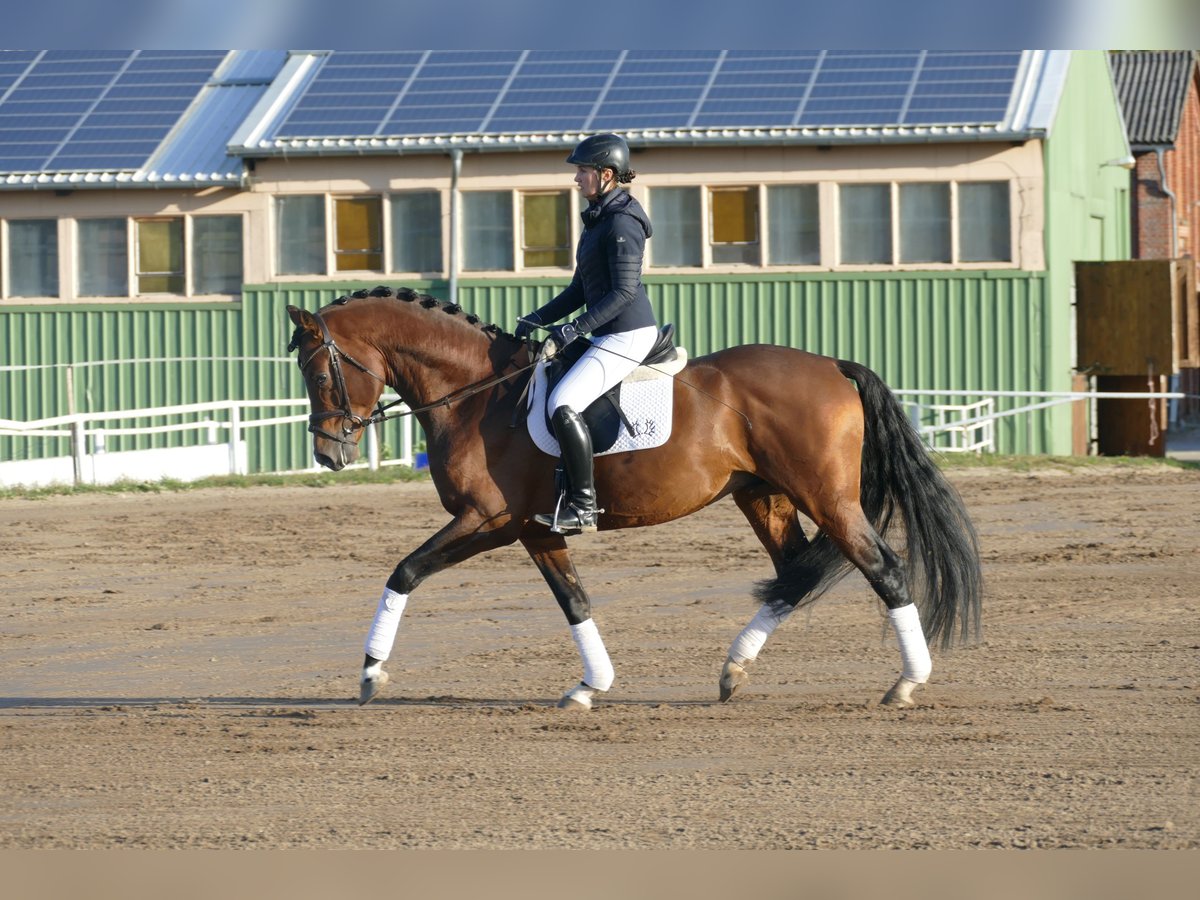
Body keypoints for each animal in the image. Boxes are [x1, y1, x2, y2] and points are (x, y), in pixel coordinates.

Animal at [285, 286, 979, 710]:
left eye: (320, 373)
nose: (328, 454)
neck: (479, 395)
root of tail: (834, 365)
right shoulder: (536, 529)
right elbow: (575, 602)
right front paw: (591, 687)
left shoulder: (487, 519)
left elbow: (404, 572)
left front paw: (370, 673)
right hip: (764, 497)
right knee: (793, 575)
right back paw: (733, 670)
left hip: (826, 497)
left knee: (882, 567)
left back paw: (907, 684)